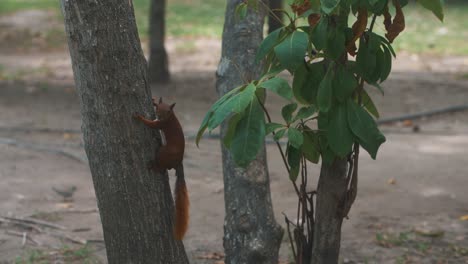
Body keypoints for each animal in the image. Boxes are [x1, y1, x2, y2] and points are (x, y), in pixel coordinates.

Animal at [133, 97, 188, 241]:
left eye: (168, 111)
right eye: (158, 108)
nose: (159, 116)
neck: (171, 116)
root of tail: (178, 162)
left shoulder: (162, 124)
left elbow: (151, 125)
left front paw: (139, 117)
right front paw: (153, 100)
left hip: (163, 153)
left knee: (163, 168)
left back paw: (154, 166)